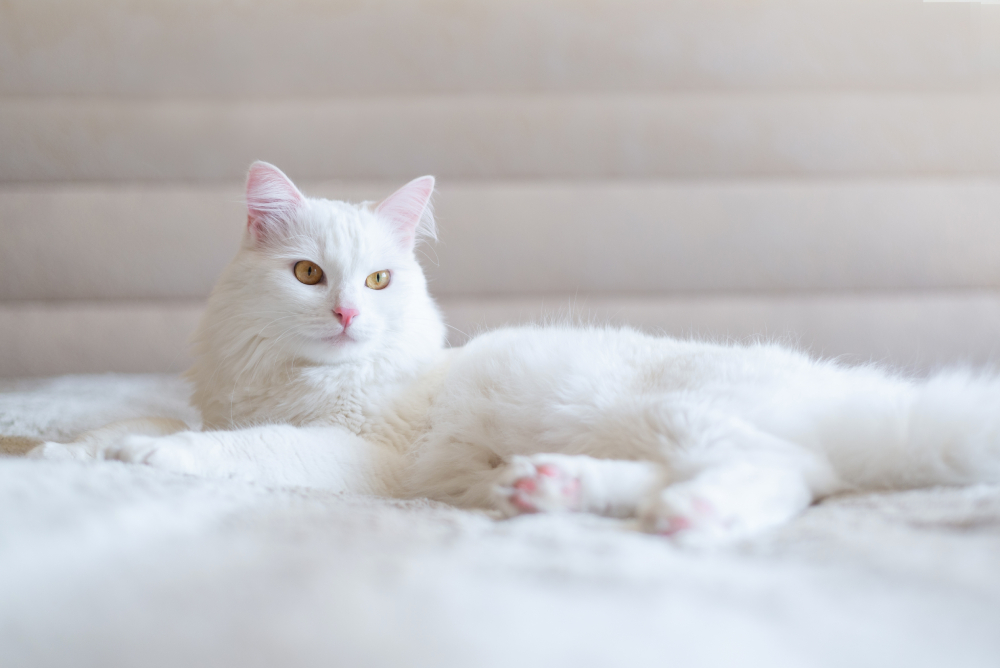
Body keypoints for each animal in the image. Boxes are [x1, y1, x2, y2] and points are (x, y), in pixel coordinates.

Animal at [27, 162, 1000, 544]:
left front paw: (141, 455)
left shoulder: (364, 456)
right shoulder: (226, 402)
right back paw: (544, 489)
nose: (346, 313)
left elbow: (231, 448)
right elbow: (143, 421)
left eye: (378, 280)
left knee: (790, 473)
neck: (297, 376)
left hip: (677, 408)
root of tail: (873, 396)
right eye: (308, 274)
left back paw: (694, 518)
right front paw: (64, 450)